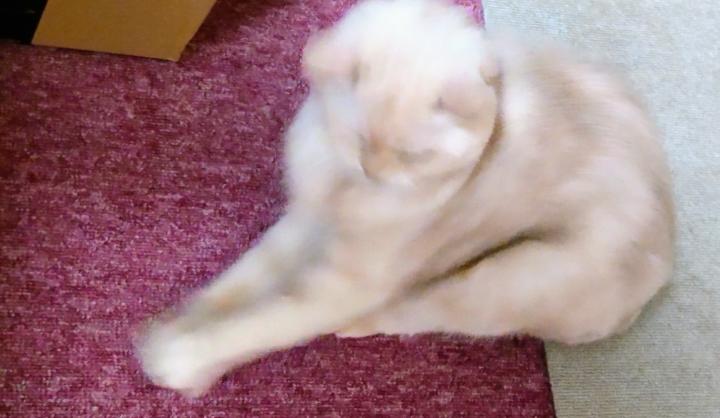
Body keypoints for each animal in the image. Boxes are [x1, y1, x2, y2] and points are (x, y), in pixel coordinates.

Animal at [137, 0, 675, 397]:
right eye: (359, 140)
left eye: (412, 156)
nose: (373, 172)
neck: (341, 186)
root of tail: (669, 261)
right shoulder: (303, 222)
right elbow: (239, 284)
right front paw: (182, 321)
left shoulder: (349, 280)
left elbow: (263, 321)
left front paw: (180, 359)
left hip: (509, 276)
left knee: (420, 311)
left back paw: (359, 324)